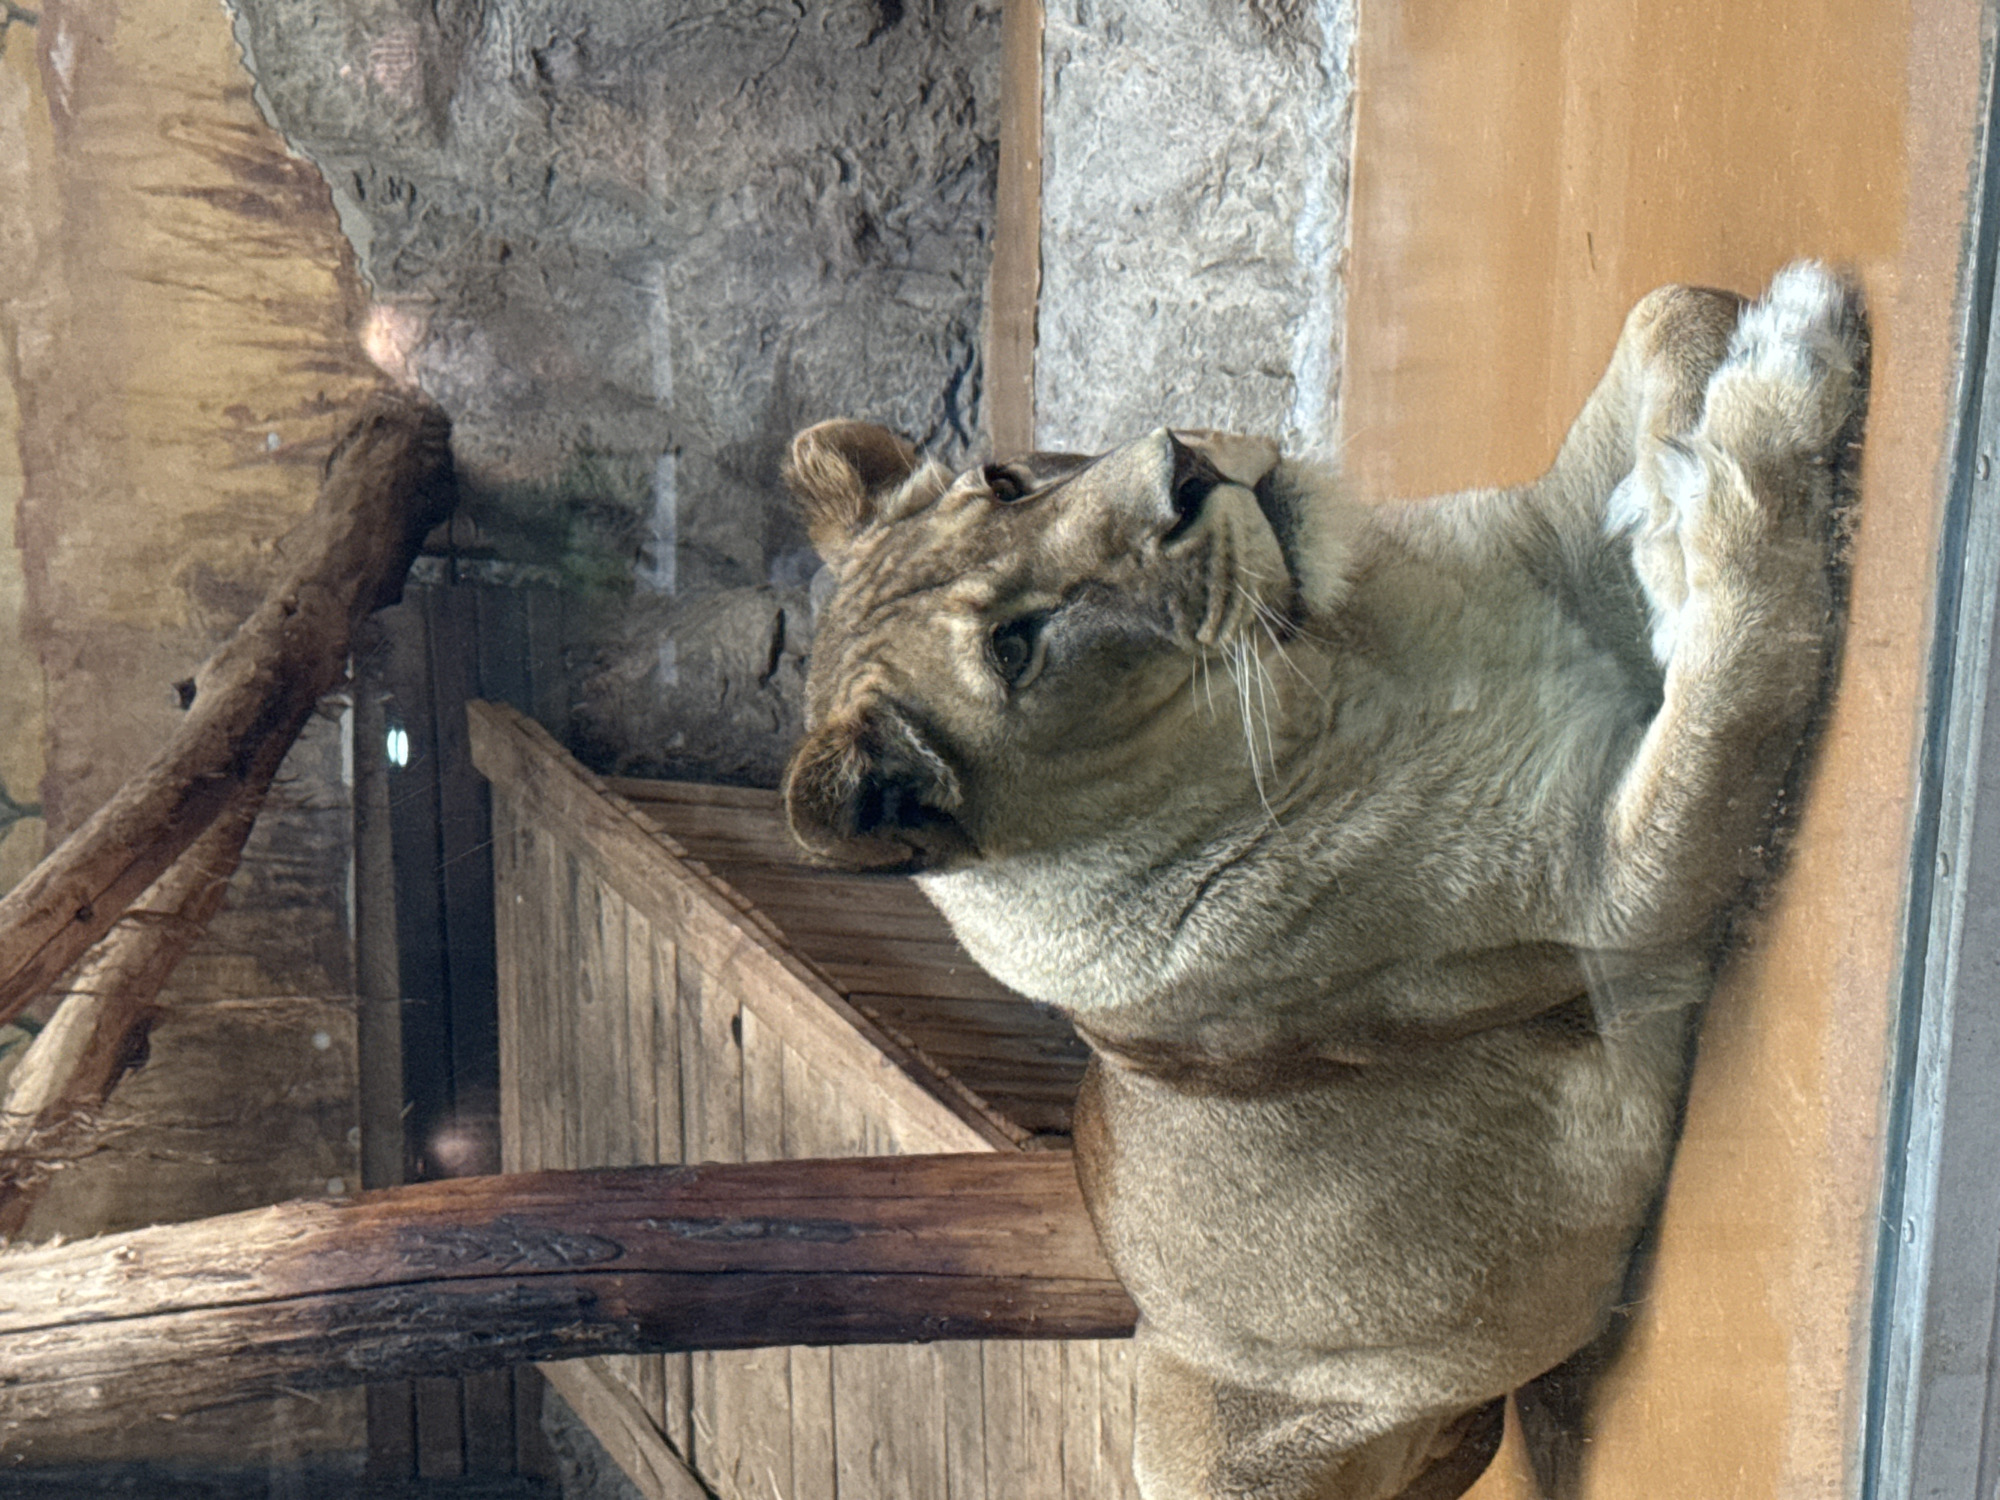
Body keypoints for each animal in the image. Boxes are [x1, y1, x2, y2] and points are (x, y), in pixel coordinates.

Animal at [779, 263, 1866, 1499]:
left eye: (1005, 480)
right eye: (1016, 647)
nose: (1184, 472)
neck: (1352, 649)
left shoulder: (1543, 540)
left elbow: (1673, 307)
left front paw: (1671, 487)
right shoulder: (1619, 891)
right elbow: (1748, 656)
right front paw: (1765, 407)